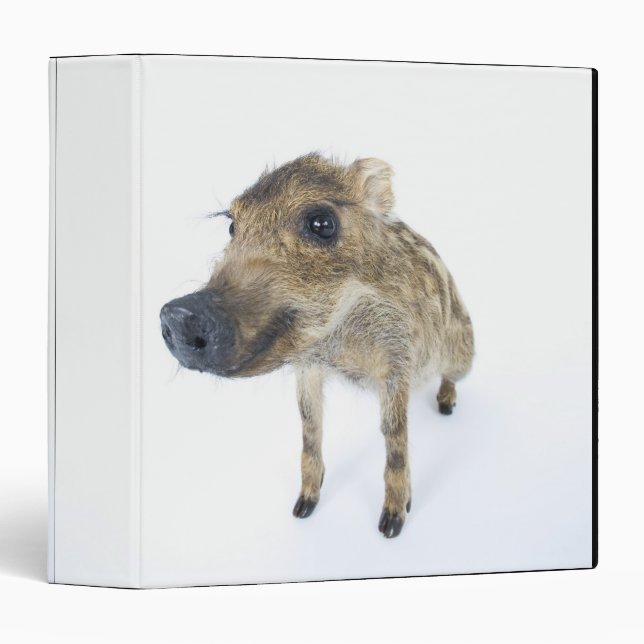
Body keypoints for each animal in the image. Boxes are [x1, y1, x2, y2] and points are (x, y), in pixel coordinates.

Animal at [160, 153, 474, 538]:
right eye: (232, 227)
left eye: (322, 224)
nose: (179, 313)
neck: (340, 342)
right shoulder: (308, 367)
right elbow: (310, 428)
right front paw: (302, 508)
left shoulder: (397, 361)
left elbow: (395, 438)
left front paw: (391, 525)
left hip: (464, 352)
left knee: (451, 377)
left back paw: (446, 407)